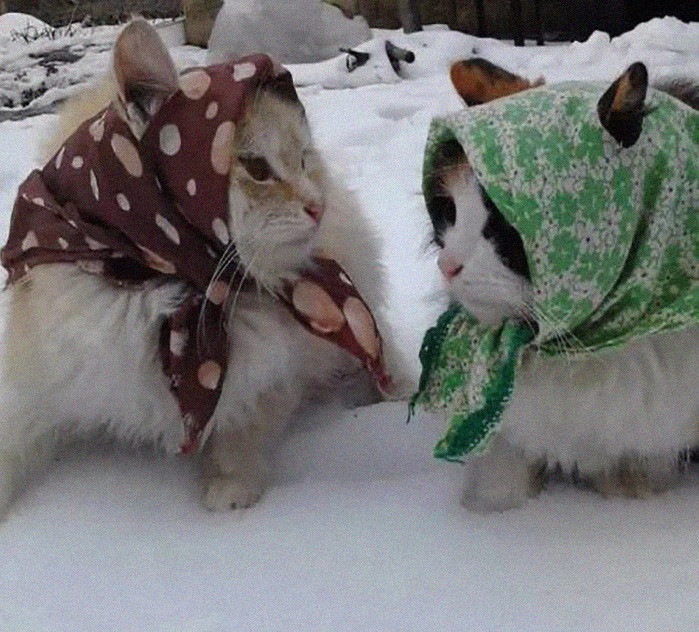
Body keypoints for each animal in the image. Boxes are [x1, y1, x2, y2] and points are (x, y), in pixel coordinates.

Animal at [0, 18, 404, 520]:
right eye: (256, 168)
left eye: (303, 160)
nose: (318, 206)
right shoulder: (34, 382)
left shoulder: (276, 371)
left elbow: (243, 430)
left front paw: (230, 488)